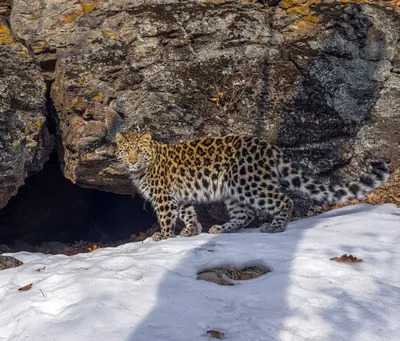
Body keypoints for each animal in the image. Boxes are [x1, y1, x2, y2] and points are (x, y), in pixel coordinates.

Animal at [115, 131, 388, 240]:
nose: (132, 160)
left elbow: (165, 217)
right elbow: (188, 213)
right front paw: (192, 230)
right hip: (234, 190)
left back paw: (275, 227)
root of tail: (268, 147)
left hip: (250, 186)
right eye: (126, 151)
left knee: (283, 200)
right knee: (245, 214)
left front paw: (161, 236)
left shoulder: (163, 197)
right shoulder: (178, 197)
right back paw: (221, 229)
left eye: (138, 151)